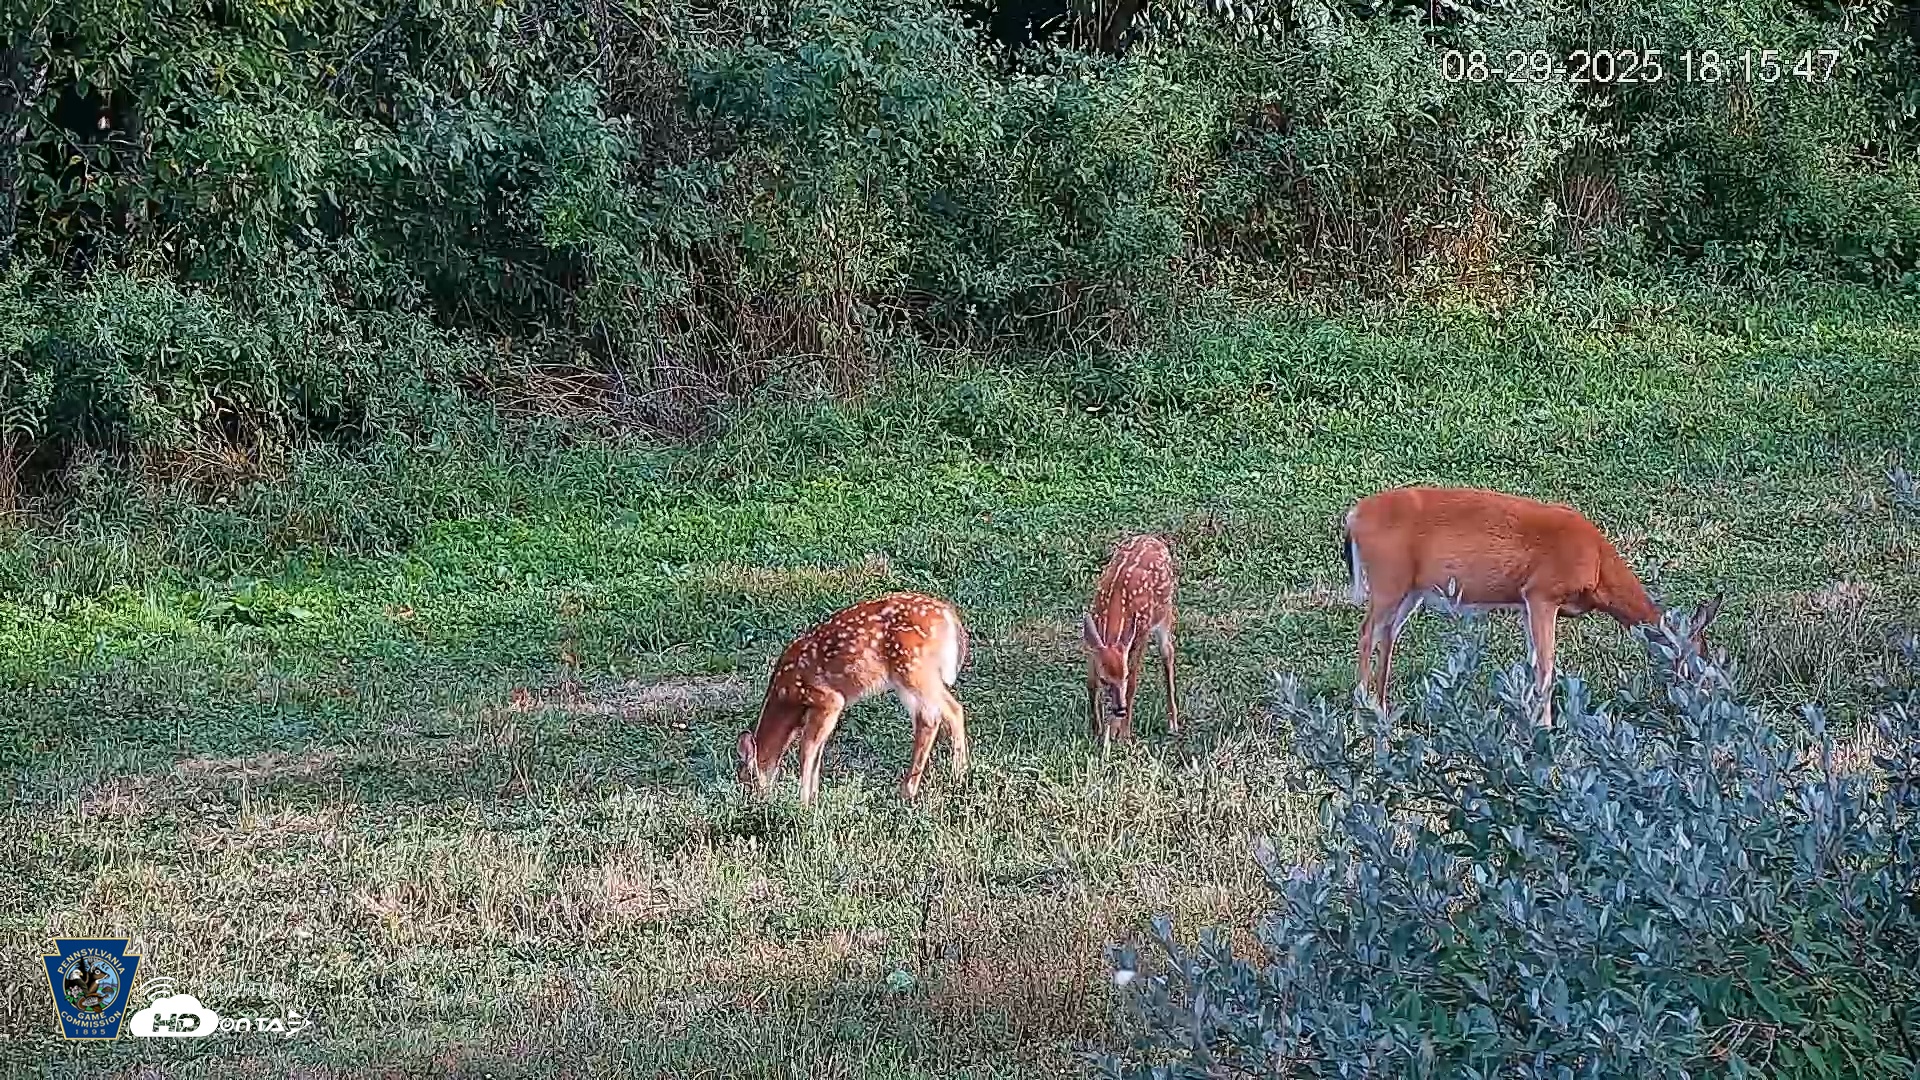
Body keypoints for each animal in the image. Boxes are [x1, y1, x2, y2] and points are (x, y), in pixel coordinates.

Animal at [736, 591, 970, 805]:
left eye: (747, 782)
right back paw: (940, 780)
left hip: (914, 669)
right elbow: (818, 751)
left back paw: (933, 783)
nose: (752, 804)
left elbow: (807, 749)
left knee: (941, 714)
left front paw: (804, 804)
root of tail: (950, 617)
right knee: (939, 715)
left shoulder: (828, 700)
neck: (787, 699)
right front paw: (814, 797)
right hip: (912, 678)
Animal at [1083, 534, 1180, 749]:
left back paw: (1173, 722)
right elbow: (1091, 684)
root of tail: (1153, 538)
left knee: (1168, 652)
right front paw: (1098, 731)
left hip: (1165, 612)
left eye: (1124, 676)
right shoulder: (1093, 644)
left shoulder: (1140, 634)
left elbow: (1133, 685)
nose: (1120, 710)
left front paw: (1124, 735)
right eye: (1105, 679)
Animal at [1342, 486, 1724, 725]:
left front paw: (1524, 721)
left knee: (1387, 636)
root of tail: (1353, 516)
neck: (1597, 565)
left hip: (1409, 591)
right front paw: (1545, 728)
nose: (1710, 703)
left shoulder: (1526, 602)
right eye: (1698, 661)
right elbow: (1546, 668)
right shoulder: (1542, 593)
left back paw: (1381, 708)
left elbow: (1531, 664)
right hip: (1388, 582)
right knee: (1366, 633)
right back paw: (1362, 710)